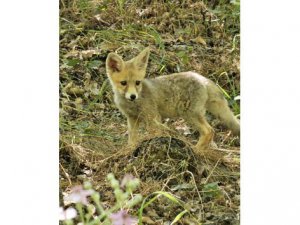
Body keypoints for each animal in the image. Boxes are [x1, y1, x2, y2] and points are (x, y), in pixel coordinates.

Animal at [105, 47, 239, 151]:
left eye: (137, 82)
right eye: (123, 83)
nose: (133, 96)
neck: (133, 104)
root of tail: (202, 78)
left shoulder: (153, 118)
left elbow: (156, 134)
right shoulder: (132, 118)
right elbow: (132, 139)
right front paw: (129, 150)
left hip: (189, 115)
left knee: (209, 131)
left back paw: (196, 150)